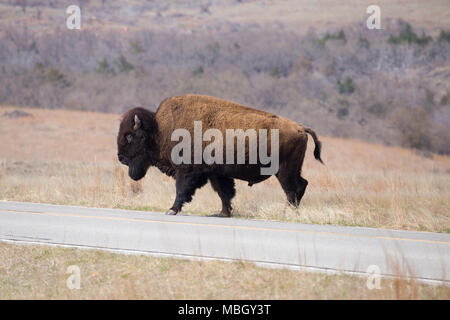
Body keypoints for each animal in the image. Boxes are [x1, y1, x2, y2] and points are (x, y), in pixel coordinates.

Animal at [118, 94, 324, 216]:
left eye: (130, 136)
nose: (120, 158)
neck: (159, 128)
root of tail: (300, 127)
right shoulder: (216, 174)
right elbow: (225, 193)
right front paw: (223, 213)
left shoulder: (186, 172)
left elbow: (181, 190)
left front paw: (172, 210)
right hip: (292, 169)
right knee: (301, 185)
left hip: (284, 171)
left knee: (293, 189)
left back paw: (286, 213)